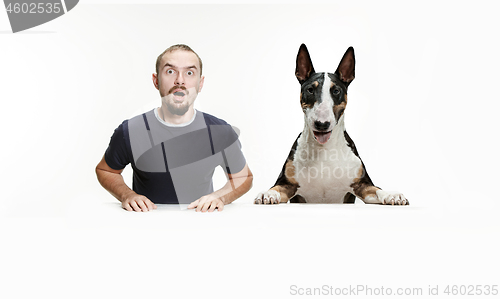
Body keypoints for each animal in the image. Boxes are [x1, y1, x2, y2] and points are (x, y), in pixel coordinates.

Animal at [256, 44, 408, 206]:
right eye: (310, 90)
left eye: (336, 91)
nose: (322, 124)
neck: (324, 149)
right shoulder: (287, 184)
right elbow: (276, 188)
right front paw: (267, 193)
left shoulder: (362, 185)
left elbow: (377, 190)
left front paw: (392, 195)